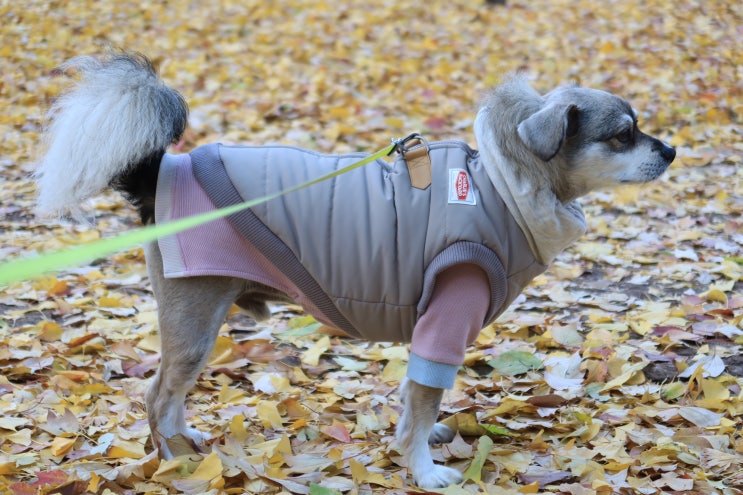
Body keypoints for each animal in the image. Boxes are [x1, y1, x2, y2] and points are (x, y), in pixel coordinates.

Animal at [33, 53, 676, 488]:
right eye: (624, 134)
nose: (670, 150)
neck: (500, 186)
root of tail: (164, 171)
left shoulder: (430, 331)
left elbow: (415, 398)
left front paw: (423, 440)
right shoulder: (444, 323)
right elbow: (422, 401)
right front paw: (423, 468)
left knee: (168, 397)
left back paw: (182, 443)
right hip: (195, 325)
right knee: (156, 396)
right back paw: (171, 462)